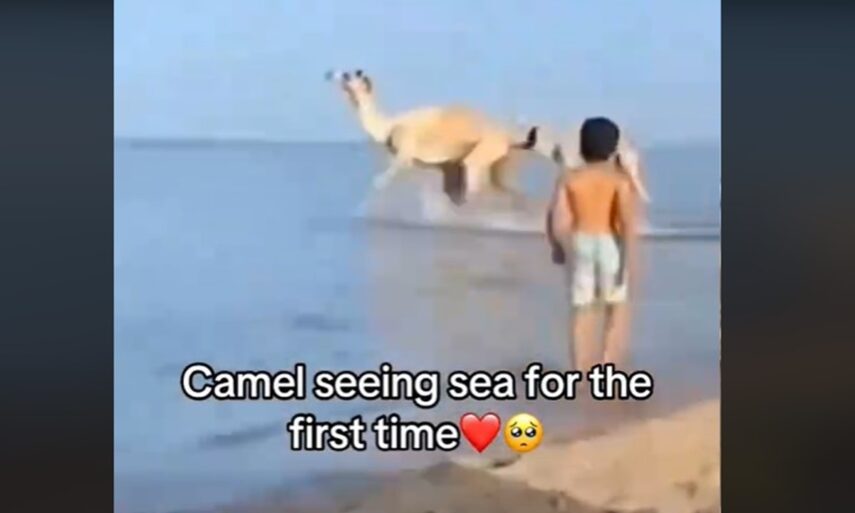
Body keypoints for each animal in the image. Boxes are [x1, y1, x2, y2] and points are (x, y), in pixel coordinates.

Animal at [327, 69, 539, 205]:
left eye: (347, 76)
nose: (329, 73)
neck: (388, 125)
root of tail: (508, 135)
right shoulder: (433, 165)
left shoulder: (405, 152)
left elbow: (381, 181)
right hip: (501, 159)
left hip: (486, 150)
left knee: (476, 182)